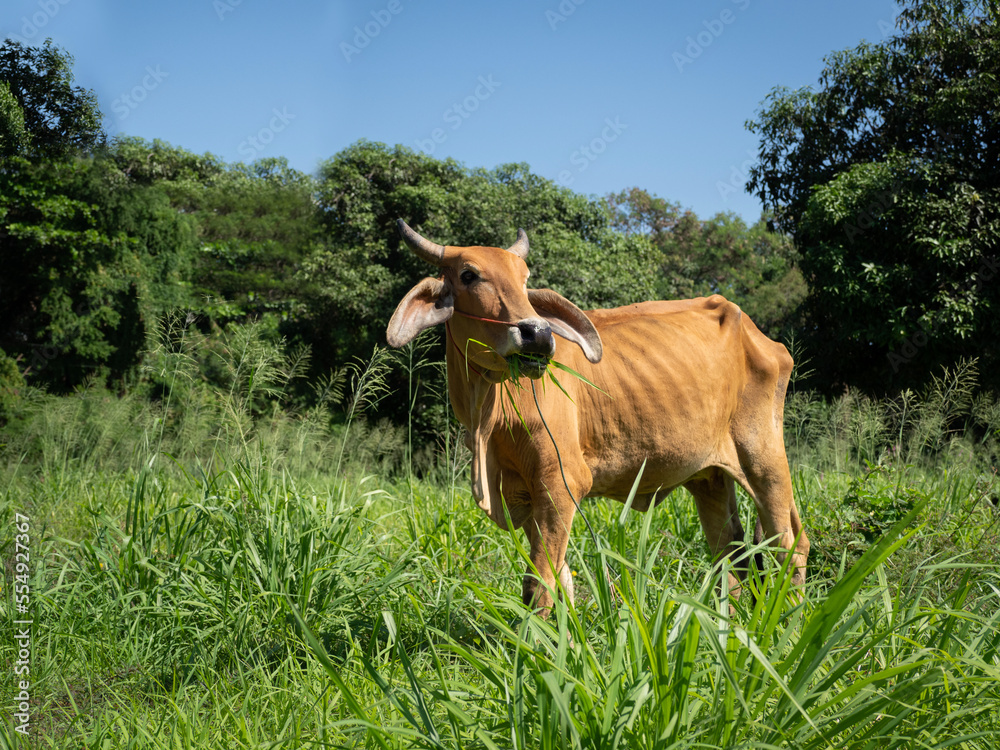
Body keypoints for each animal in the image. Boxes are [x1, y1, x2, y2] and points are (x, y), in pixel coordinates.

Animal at [386, 220, 808, 612]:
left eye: (524, 279)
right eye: (468, 275)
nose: (537, 334)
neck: (488, 412)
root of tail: (756, 331)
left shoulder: (561, 481)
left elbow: (541, 583)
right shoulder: (529, 494)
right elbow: (560, 580)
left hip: (764, 458)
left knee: (789, 542)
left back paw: (789, 616)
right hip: (709, 476)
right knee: (730, 552)